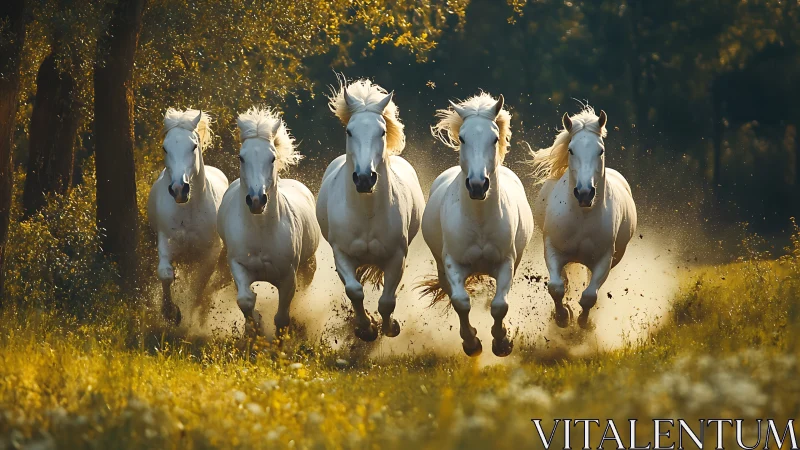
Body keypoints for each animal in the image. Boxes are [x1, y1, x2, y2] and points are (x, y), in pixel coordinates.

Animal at [147, 109, 230, 326]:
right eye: (165, 148)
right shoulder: (166, 242)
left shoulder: (210, 255)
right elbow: (166, 274)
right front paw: (171, 313)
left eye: (193, 146)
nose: (178, 189)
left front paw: (190, 318)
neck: (188, 211)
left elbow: (197, 288)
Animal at [217, 107, 320, 336]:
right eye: (241, 157)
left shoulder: (289, 276)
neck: (261, 231)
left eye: (272, 158)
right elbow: (245, 300)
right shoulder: (237, 265)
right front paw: (256, 325)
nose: (256, 200)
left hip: (308, 266)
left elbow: (282, 316)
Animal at [317, 77, 425, 341]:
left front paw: (390, 327)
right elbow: (354, 290)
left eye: (382, 131)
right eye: (349, 131)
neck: (366, 214)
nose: (365, 179)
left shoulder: (397, 257)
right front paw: (365, 329)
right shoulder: (341, 254)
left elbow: (387, 301)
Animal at [420, 93, 534, 357]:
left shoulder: (506, 263)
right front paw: (472, 344)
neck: (480, 221)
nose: (477, 185)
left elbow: (499, 305)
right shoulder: (452, 263)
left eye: (494, 138)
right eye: (462, 137)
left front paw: (502, 343)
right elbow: (461, 302)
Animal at [530, 106, 637, 329]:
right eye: (571, 150)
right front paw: (562, 317)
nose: (584, 193)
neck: (582, 219)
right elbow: (556, 286)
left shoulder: (604, 259)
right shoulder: (552, 249)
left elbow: (589, 296)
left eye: (601, 150)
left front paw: (584, 323)